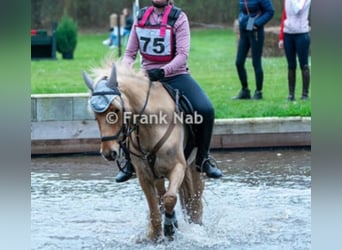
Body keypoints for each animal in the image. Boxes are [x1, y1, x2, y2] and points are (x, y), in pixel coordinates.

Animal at [82, 59, 206, 240]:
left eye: (116, 110)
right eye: (95, 116)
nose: (108, 153)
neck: (153, 125)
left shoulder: (178, 167)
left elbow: (170, 198)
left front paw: (169, 227)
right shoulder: (145, 175)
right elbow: (155, 210)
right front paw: (156, 234)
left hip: (194, 166)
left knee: (194, 199)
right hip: (158, 174)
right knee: (162, 196)